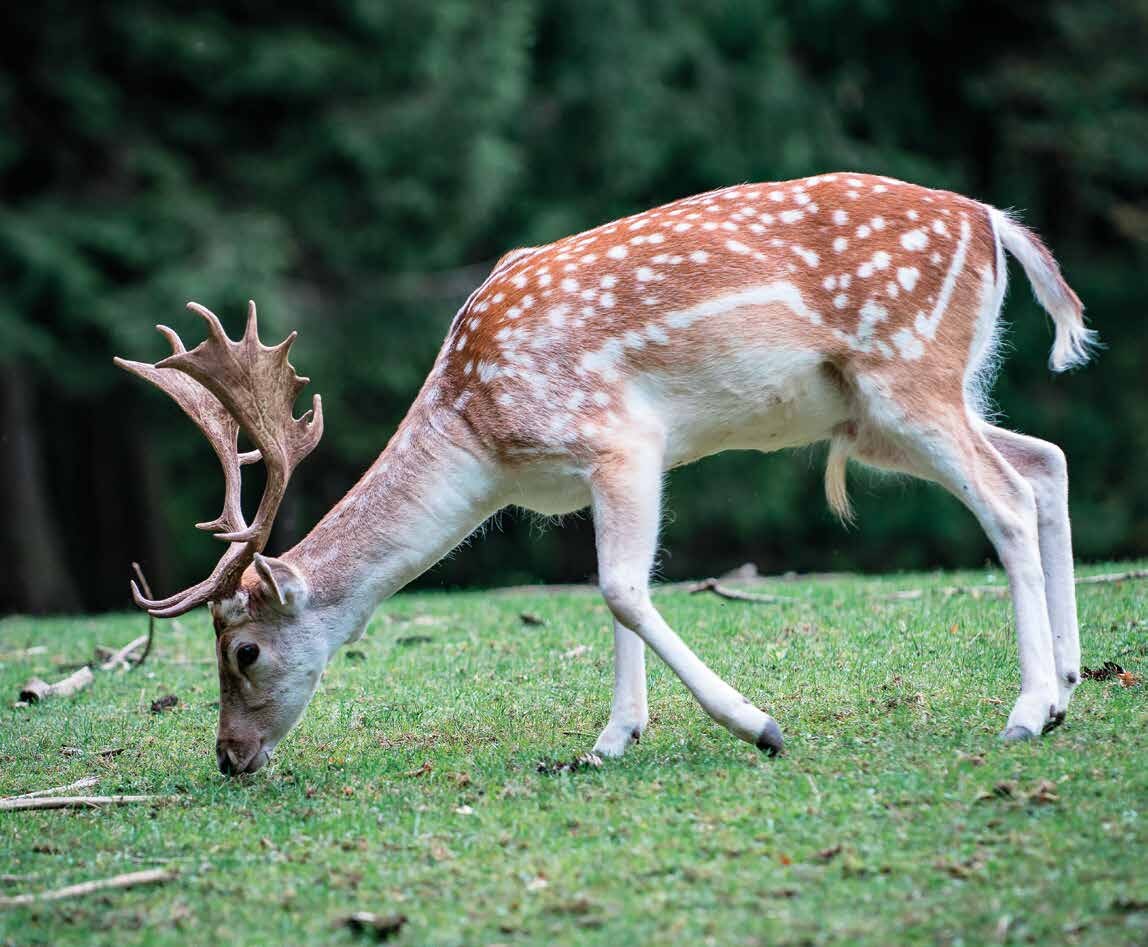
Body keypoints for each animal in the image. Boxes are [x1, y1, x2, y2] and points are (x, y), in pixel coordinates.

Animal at [118, 172, 1092, 775]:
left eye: (243, 650)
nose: (229, 757)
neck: (481, 436)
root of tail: (994, 222)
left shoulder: (622, 436)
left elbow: (623, 587)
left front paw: (759, 725)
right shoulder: (594, 469)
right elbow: (610, 591)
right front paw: (612, 739)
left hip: (908, 372)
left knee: (1006, 497)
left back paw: (1025, 706)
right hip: (890, 412)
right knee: (1046, 460)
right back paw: (1070, 685)